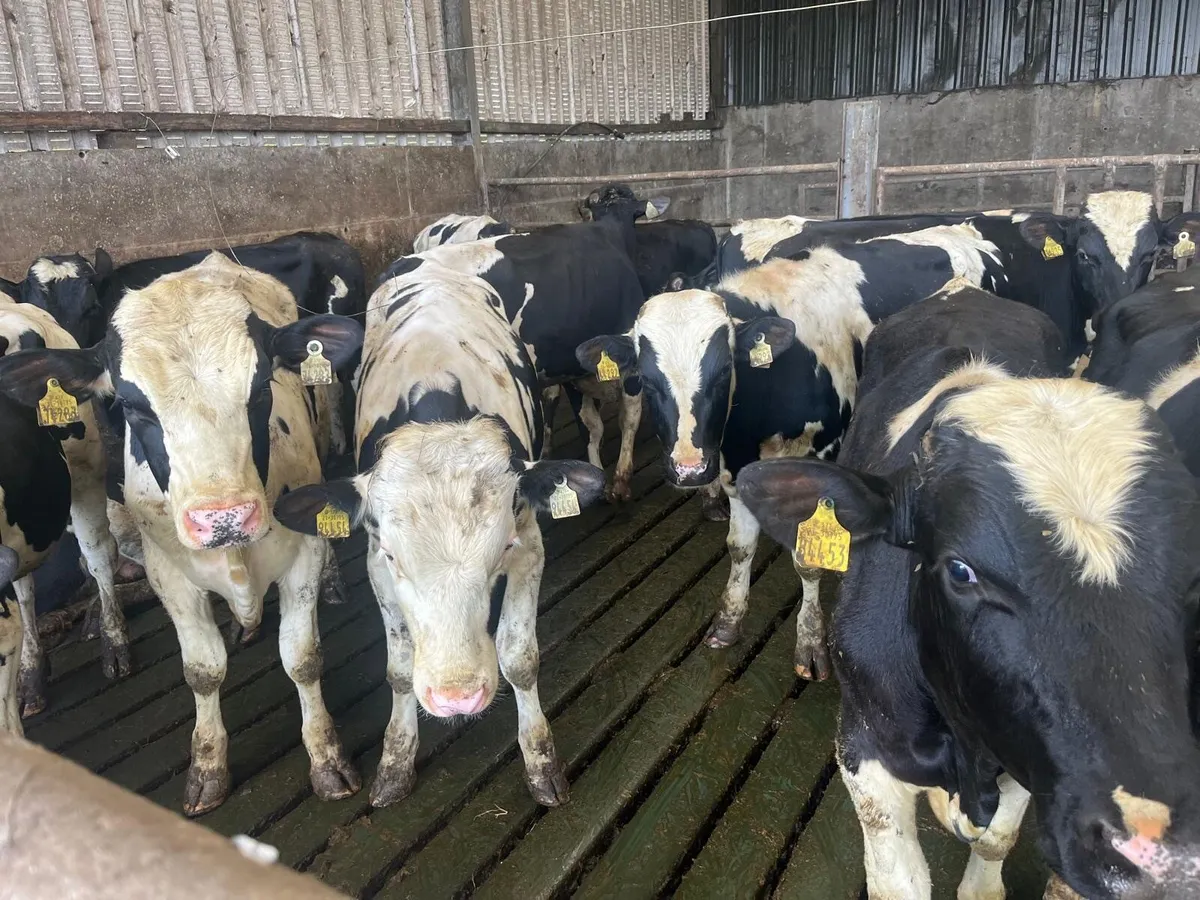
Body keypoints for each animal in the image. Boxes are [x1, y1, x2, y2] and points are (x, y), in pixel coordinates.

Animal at [273, 258, 606, 808]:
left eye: (504, 548)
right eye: (392, 555)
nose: (457, 698)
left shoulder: (530, 546)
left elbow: (519, 658)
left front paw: (540, 761)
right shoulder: (373, 565)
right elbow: (401, 669)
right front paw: (395, 760)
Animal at [578, 224, 1005, 680]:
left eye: (724, 370)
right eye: (645, 378)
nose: (689, 469)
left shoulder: (822, 469)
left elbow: (809, 560)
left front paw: (811, 642)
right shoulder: (734, 468)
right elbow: (739, 546)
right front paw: (728, 621)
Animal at [736, 289, 1200, 900]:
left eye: (1194, 578)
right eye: (960, 571)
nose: (1157, 858)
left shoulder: (1029, 758)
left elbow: (995, 842)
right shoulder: (864, 749)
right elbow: (899, 882)